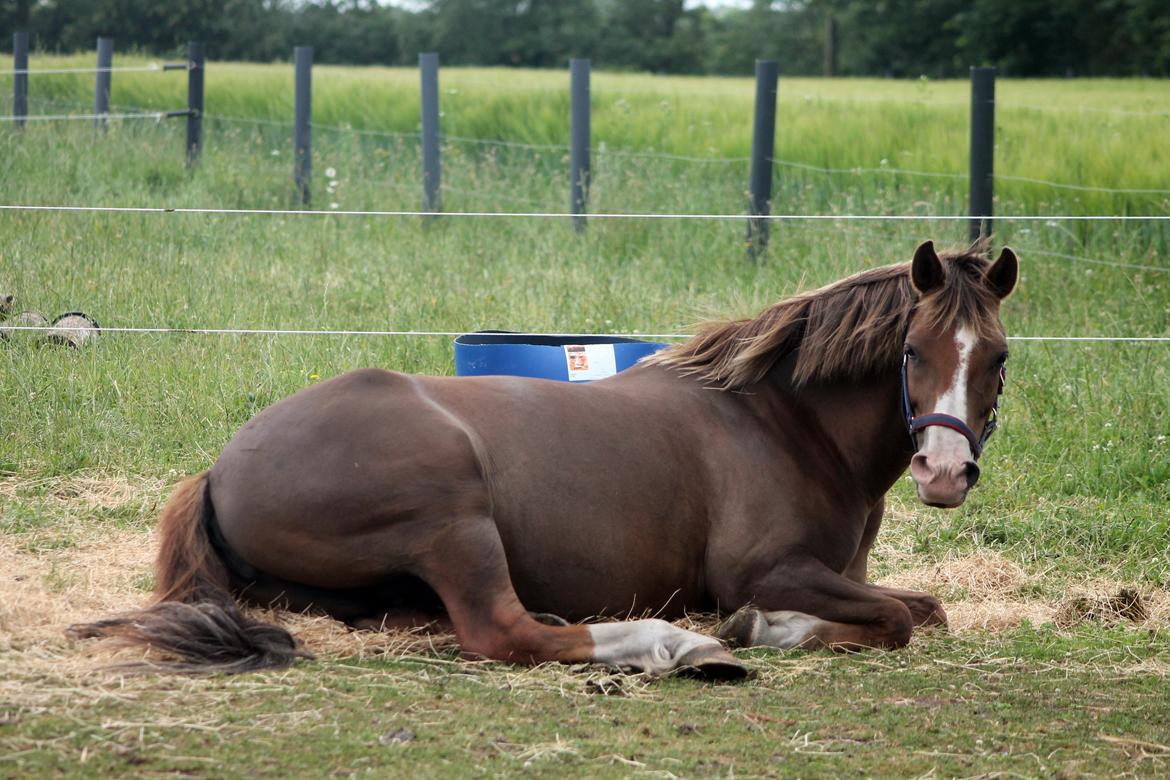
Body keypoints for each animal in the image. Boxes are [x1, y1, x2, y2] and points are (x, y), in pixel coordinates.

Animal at [68, 240, 1015, 678]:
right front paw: (756, 628)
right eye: (914, 351)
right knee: (502, 632)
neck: (780, 421)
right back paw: (670, 643)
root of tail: (219, 471)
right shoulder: (768, 569)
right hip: (453, 518)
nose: (943, 475)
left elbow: (924, 609)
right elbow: (895, 620)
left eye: (998, 358)